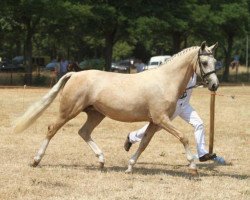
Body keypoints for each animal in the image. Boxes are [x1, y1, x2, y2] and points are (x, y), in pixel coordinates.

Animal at [13, 41, 219, 173]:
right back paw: (36, 160)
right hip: (69, 111)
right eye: (204, 62)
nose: (215, 85)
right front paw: (193, 166)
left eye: (215, 62)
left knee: (84, 132)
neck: (165, 81)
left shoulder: (155, 122)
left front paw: (129, 166)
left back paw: (101, 161)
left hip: (96, 114)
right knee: (52, 129)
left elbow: (144, 143)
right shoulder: (161, 119)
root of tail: (74, 74)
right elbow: (183, 137)